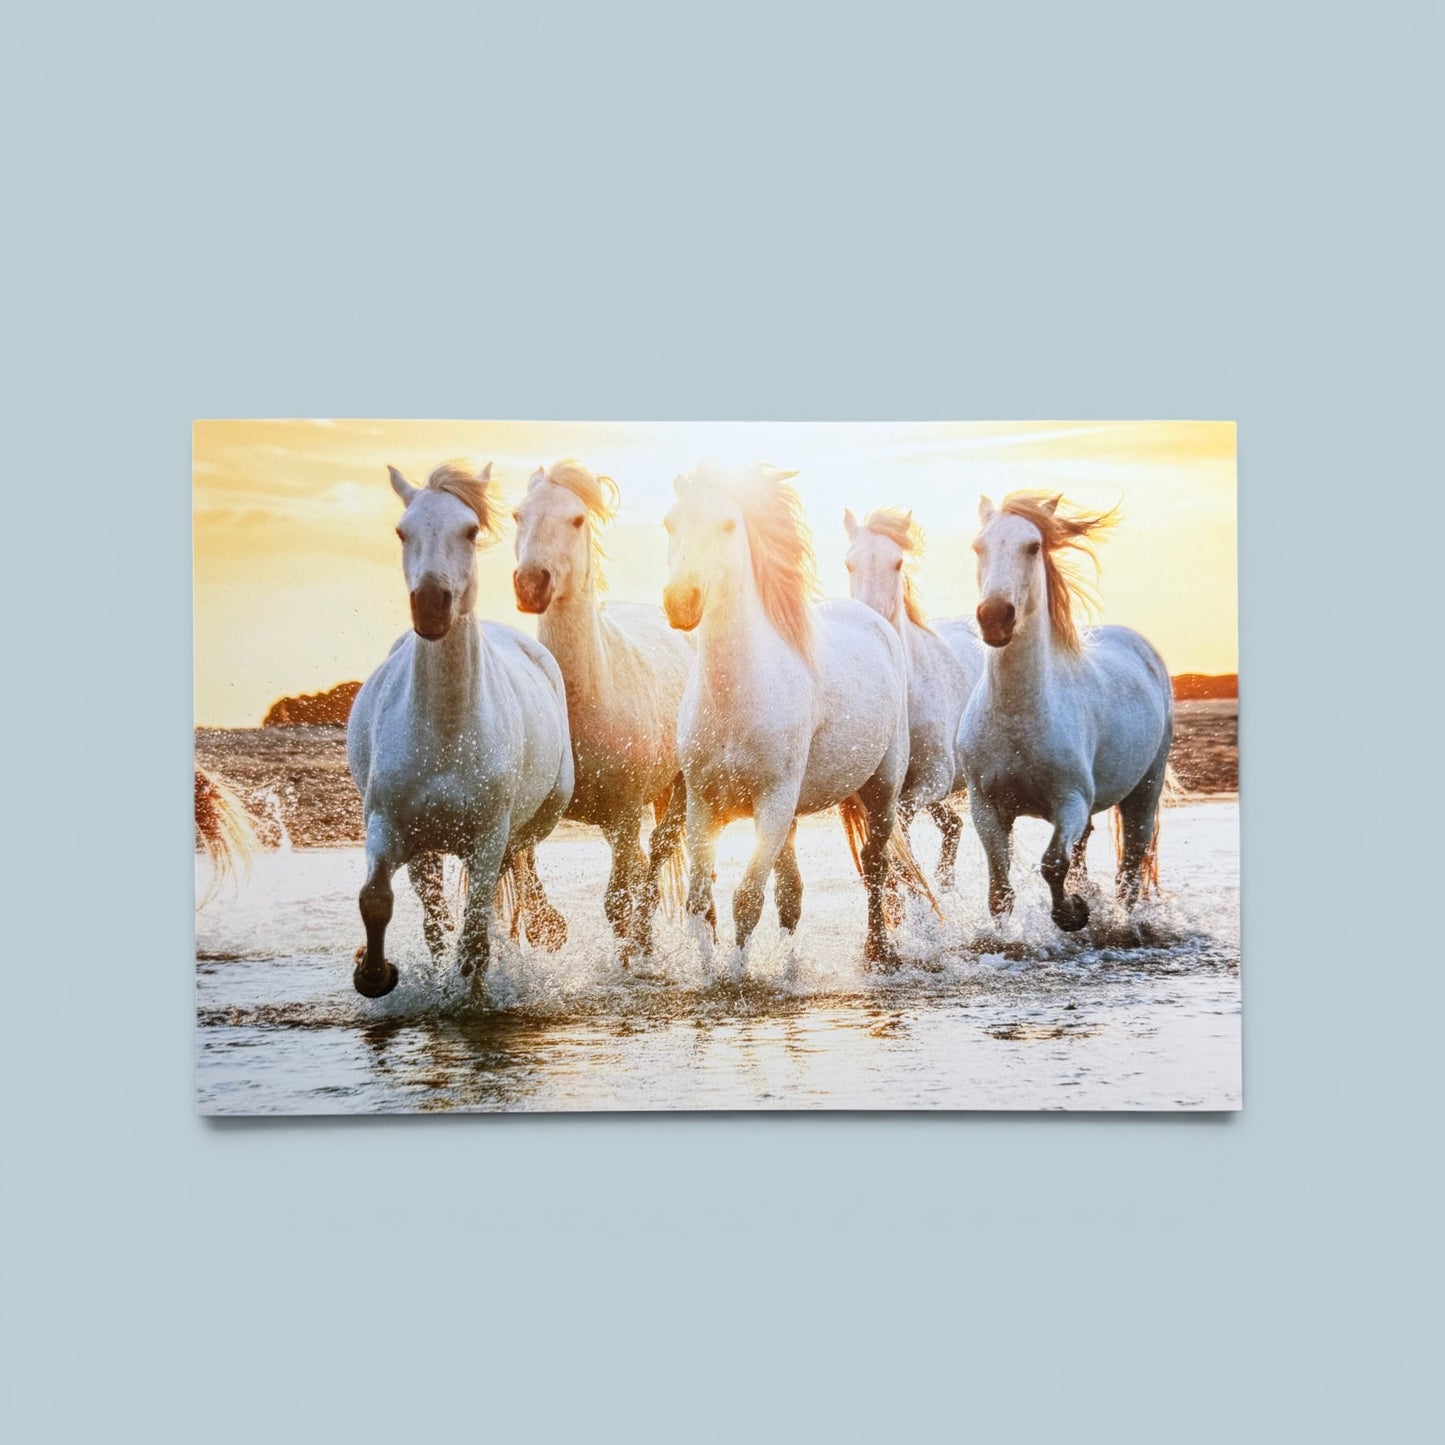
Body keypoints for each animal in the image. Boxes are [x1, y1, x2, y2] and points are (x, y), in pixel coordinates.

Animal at [346, 461, 575, 998]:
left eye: (470, 530)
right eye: (402, 531)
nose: (432, 606)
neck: (447, 733)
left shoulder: (488, 838)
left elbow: (474, 938)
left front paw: (472, 996)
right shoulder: (388, 827)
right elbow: (378, 900)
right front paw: (376, 974)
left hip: (533, 820)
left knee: (519, 872)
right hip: (428, 848)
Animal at [512, 459, 693, 953]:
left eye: (577, 519)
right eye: (518, 515)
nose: (530, 584)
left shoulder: (626, 812)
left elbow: (616, 901)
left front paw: (629, 957)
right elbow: (525, 875)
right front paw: (546, 928)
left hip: (675, 791)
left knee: (657, 852)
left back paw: (644, 942)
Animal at [662, 461, 929, 968]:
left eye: (728, 525)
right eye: (670, 523)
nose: (680, 600)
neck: (735, 697)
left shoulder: (773, 802)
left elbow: (746, 900)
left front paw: (736, 975)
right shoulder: (701, 805)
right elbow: (699, 901)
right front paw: (708, 971)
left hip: (882, 790)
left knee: (875, 864)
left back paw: (878, 950)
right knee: (793, 893)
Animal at [957, 492, 1173, 932]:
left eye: (1032, 546)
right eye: (977, 546)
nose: (994, 617)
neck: (1018, 715)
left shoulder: (1070, 801)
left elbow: (1053, 863)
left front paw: (1073, 913)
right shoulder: (985, 806)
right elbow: (1000, 890)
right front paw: (1006, 938)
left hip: (1145, 790)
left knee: (1131, 868)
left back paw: (1120, 922)